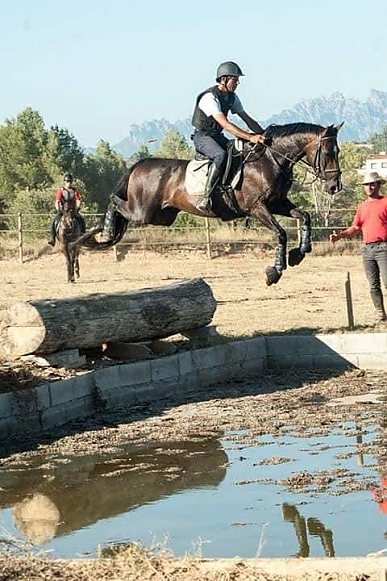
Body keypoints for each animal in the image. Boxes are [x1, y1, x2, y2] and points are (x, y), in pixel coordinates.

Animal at [76, 122, 346, 286]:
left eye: (338, 151)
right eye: (328, 152)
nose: (334, 186)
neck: (271, 160)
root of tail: (140, 163)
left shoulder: (278, 203)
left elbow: (305, 216)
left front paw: (299, 253)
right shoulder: (257, 208)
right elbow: (280, 234)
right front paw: (275, 271)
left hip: (162, 216)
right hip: (144, 211)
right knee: (115, 201)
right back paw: (100, 230)